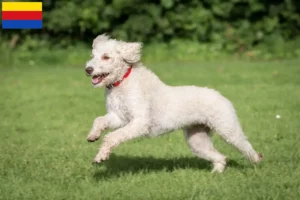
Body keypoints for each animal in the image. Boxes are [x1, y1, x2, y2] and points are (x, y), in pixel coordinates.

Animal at [84, 34, 262, 172]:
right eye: (92, 56)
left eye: (106, 57)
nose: (88, 69)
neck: (122, 81)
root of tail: (220, 95)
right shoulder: (119, 117)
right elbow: (99, 120)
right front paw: (93, 135)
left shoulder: (140, 122)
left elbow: (112, 137)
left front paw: (102, 155)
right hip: (197, 139)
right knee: (220, 157)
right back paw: (216, 172)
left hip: (227, 128)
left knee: (245, 145)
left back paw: (257, 161)